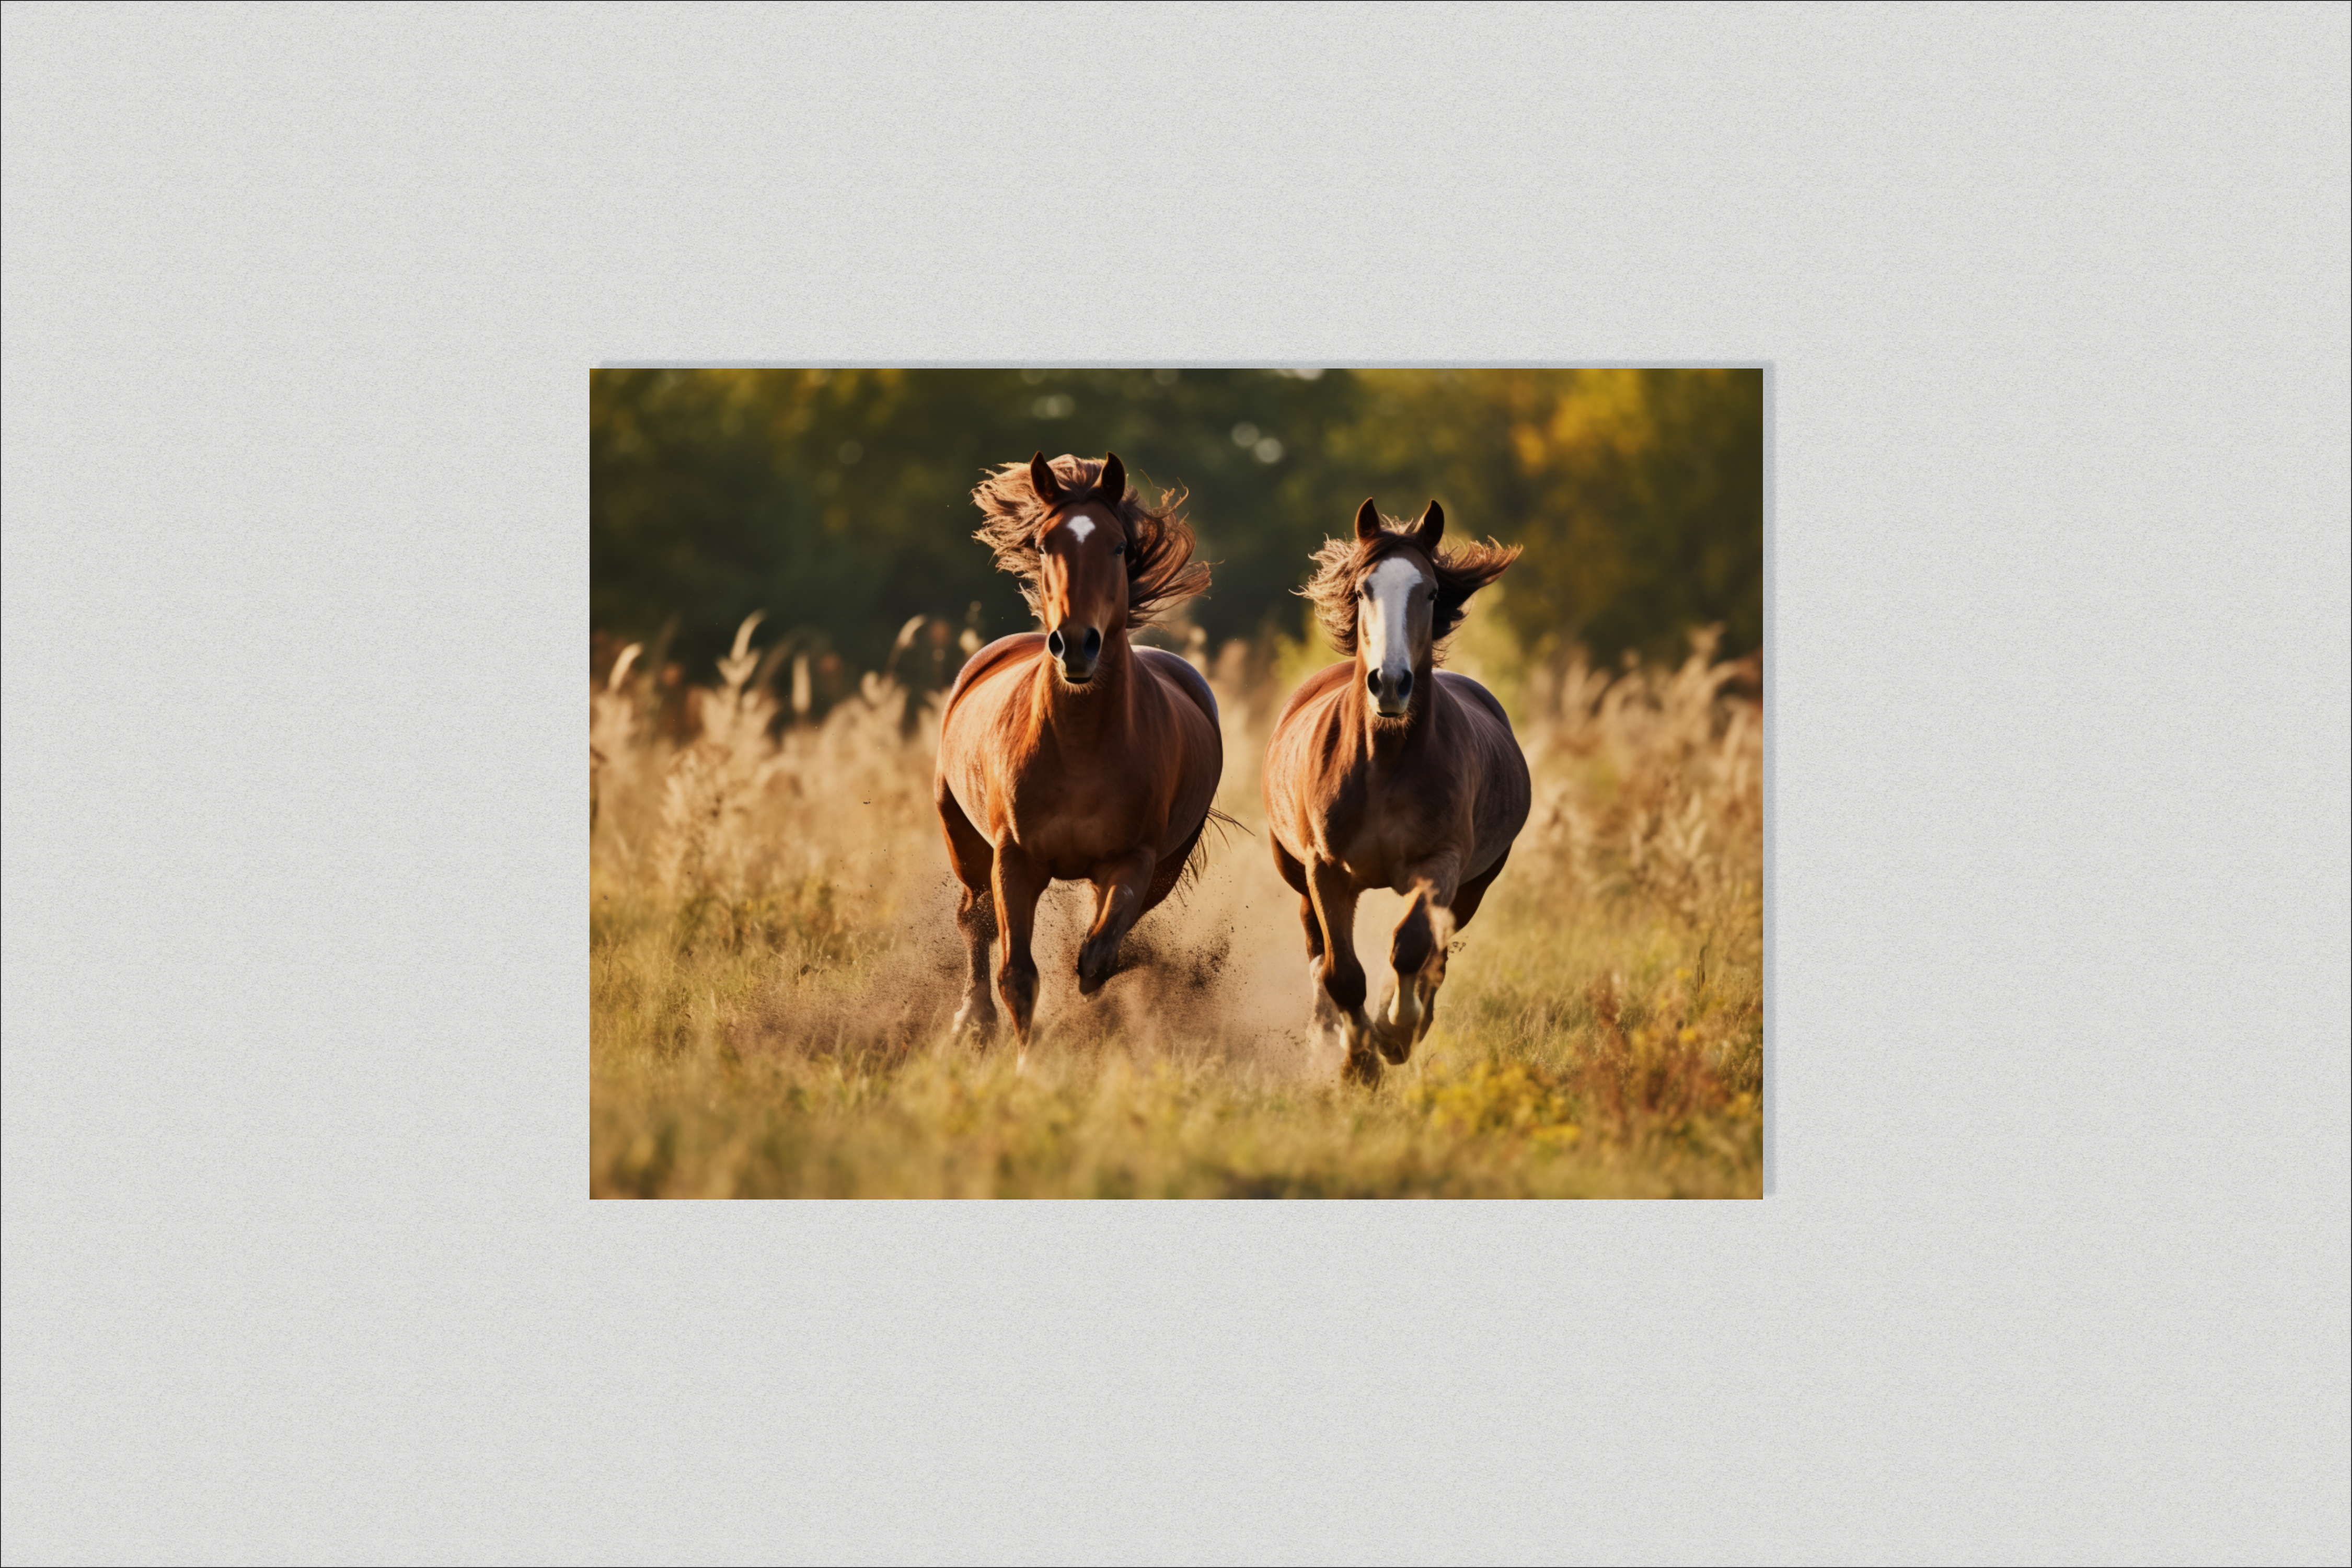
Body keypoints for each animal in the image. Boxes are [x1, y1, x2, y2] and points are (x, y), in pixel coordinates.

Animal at [934, 451, 1224, 1048]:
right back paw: (971, 1020)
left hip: (1163, 868)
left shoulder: (1133, 861)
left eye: (1117, 546)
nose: (1075, 645)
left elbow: (1096, 957)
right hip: (962, 835)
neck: (1079, 747)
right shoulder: (1014, 858)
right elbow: (1017, 974)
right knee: (974, 920)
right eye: (1046, 544)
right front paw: (1026, 1058)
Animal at [1261, 498, 1527, 1085]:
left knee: (1436, 959)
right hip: (1294, 873)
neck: (1383, 763)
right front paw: (1357, 1062)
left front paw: (1394, 1034)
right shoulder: (1325, 870)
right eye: (1364, 589)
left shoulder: (1440, 865)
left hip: (1474, 886)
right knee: (1317, 952)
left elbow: (1410, 950)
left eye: (1428, 592)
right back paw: (1326, 1036)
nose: (1390, 683)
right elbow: (1341, 971)